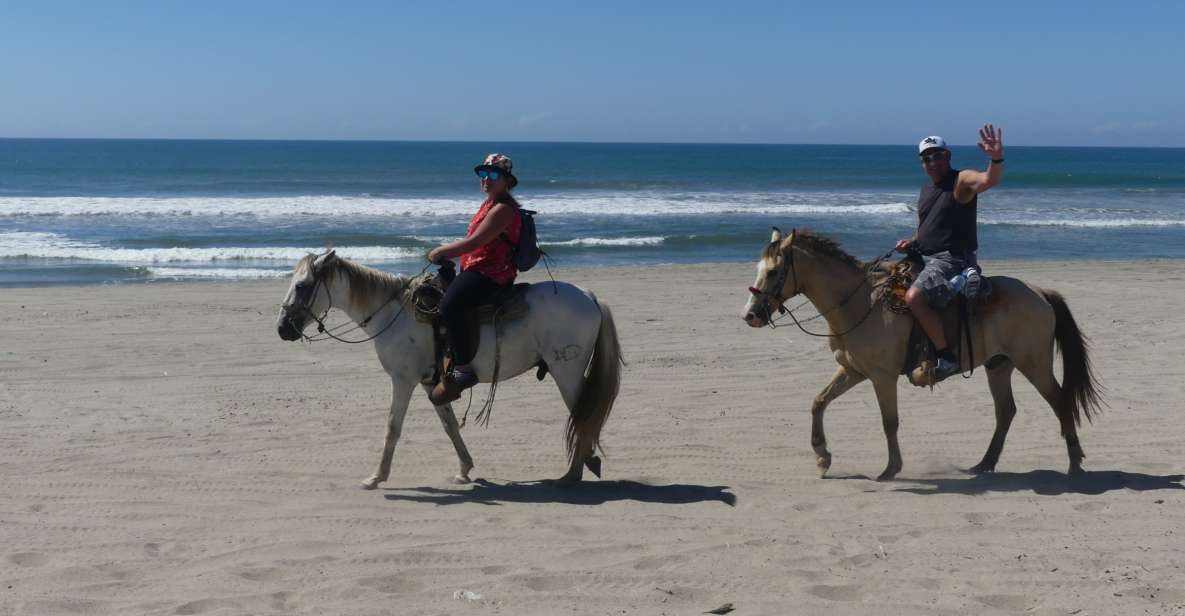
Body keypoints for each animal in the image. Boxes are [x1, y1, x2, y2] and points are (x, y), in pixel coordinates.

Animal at [274, 248, 620, 485]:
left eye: (302, 286)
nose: (282, 329)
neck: (393, 313)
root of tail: (590, 297)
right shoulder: (432, 382)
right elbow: (450, 426)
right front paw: (464, 470)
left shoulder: (403, 380)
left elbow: (392, 427)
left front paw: (377, 477)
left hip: (567, 371)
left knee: (583, 416)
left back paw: (572, 475)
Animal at [739, 228, 1099, 478]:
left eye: (773, 272)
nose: (750, 315)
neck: (861, 304)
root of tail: (1040, 293)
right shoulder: (853, 370)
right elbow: (818, 402)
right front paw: (822, 457)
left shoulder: (882, 377)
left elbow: (889, 421)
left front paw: (891, 469)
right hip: (999, 366)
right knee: (1005, 411)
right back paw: (984, 463)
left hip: (1034, 365)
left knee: (1060, 401)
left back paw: (1074, 463)